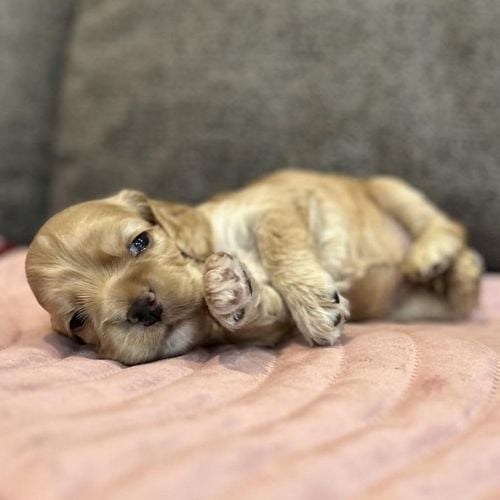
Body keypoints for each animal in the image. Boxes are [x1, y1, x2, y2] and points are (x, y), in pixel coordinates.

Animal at [25, 171, 482, 364]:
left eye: (141, 241)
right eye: (78, 321)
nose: (142, 308)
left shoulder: (270, 205)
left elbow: (277, 243)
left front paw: (315, 305)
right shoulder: (270, 328)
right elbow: (260, 309)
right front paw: (228, 290)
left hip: (390, 188)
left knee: (447, 225)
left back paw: (432, 255)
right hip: (413, 307)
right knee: (462, 295)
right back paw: (459, 276)